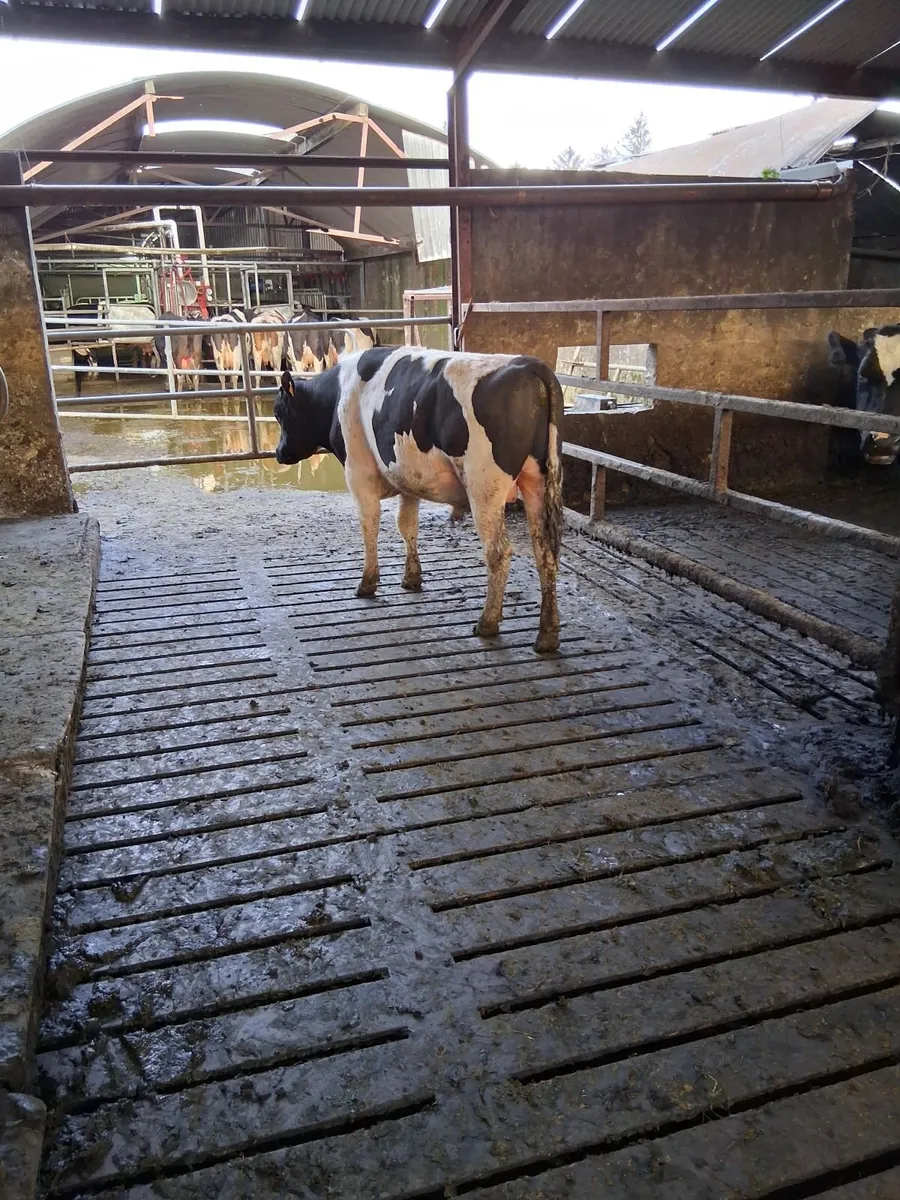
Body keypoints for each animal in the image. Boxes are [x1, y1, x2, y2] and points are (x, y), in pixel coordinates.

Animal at [273, 346, 563, 653]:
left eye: (279, 413)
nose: (279, 453)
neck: (338, 393)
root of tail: (529, 365)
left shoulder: (359, 473)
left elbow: (369, 525)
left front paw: (367, 582)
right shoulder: (408, 479)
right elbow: (407, 525)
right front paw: (412, 577)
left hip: (484, 487)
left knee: (498, 552)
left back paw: (487, 623)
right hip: (538, 482)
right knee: (545, 552)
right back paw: (547, 635)